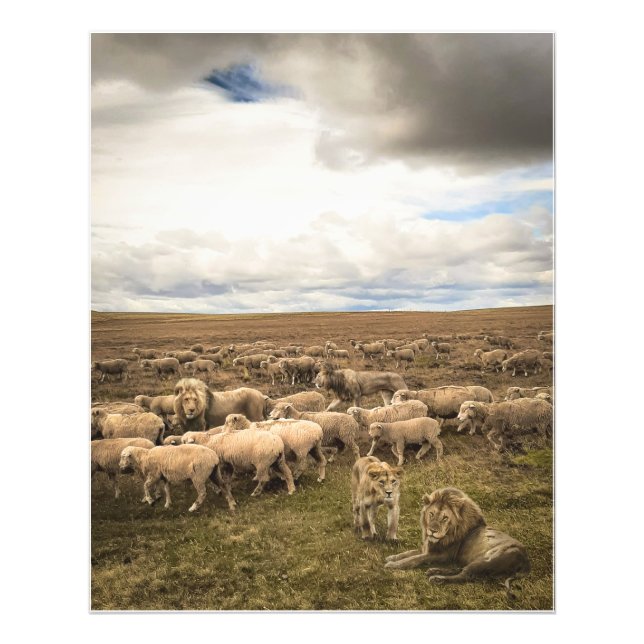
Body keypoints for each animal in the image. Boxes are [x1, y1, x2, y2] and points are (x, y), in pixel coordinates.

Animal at [384, 487, 530, 598]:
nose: (432, 531)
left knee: (464, 575)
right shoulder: (427, 548)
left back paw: (437, 578)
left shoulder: (443, 555)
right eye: (431, 514)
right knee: (460, 569)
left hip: (487, 560)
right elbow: (409, 553)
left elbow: (413, 559)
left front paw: (393, 565)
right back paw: (433, 570)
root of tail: (526, 561)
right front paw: (392, 557)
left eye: (445, 518)